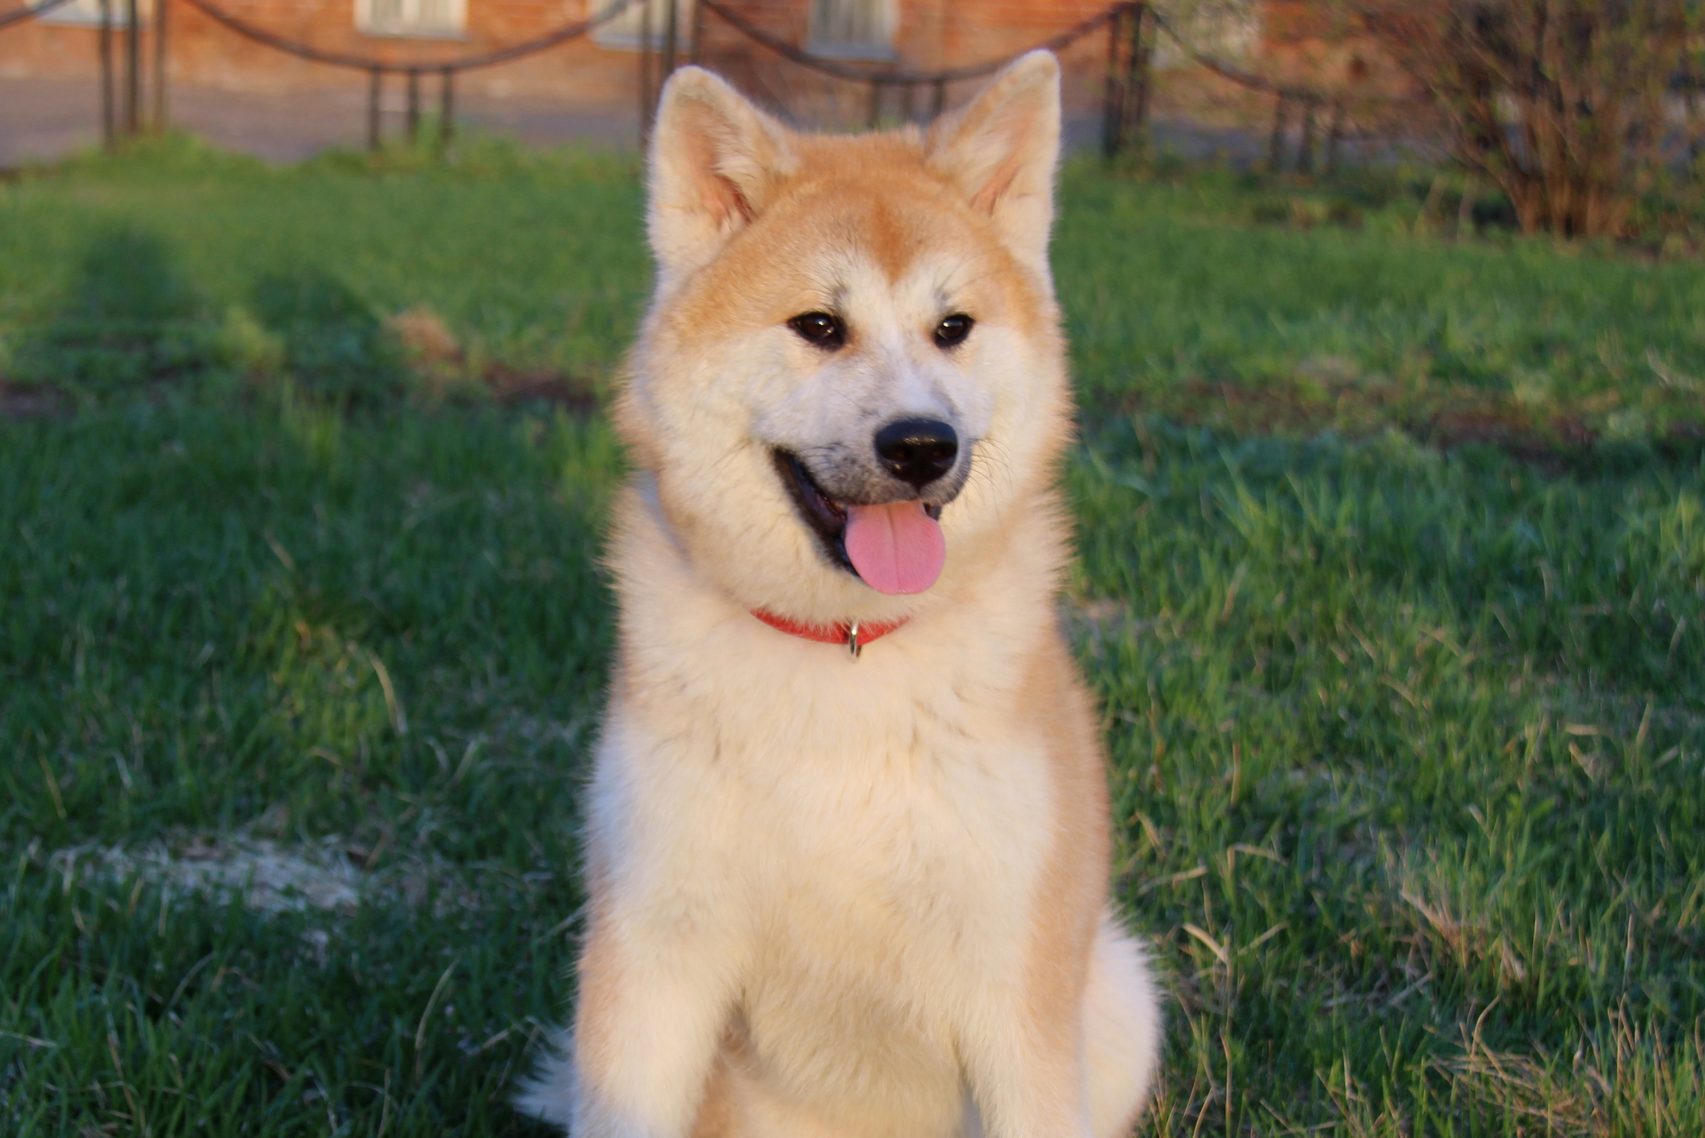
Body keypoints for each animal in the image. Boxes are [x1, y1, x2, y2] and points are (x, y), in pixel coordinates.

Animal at [514, 49, 1159, 1132]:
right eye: (819, 325)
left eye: (952, 327)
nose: (920, 444)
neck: (846, 652)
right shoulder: (652, 955)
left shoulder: (1013, 984)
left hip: (1118, 992)